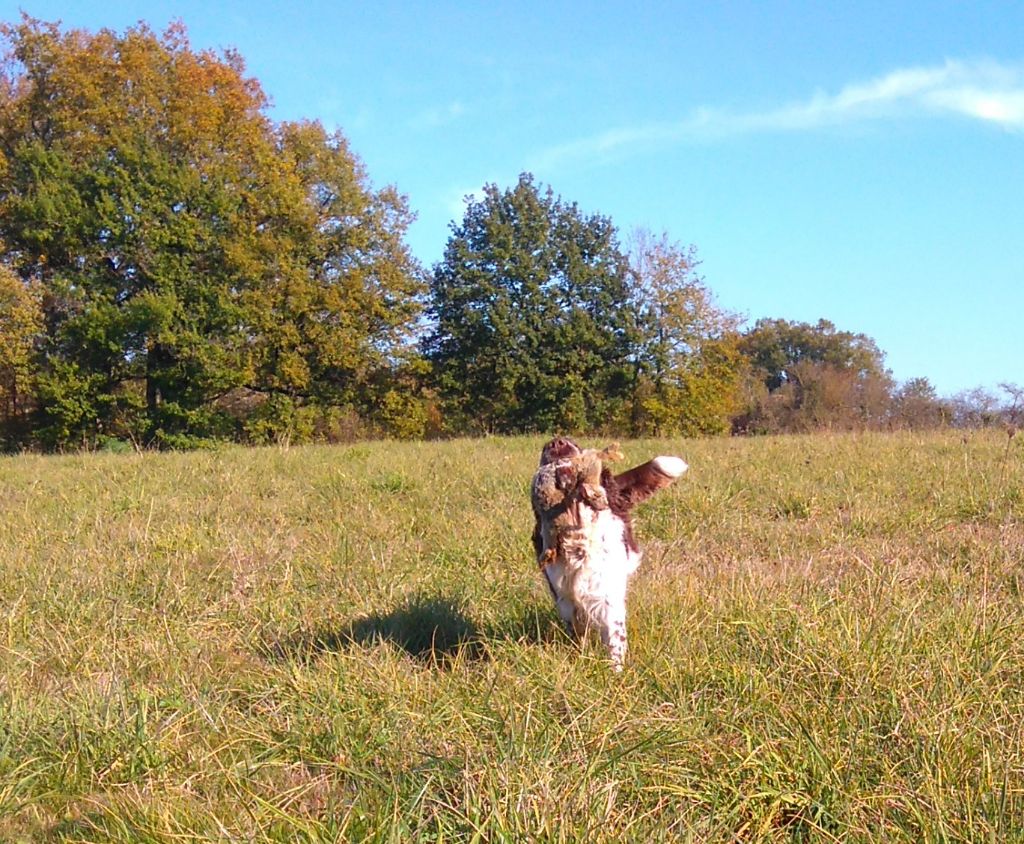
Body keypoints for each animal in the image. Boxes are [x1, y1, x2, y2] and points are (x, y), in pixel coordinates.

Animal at [528, 438, 688, 667]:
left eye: (573, 442)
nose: (556, 443)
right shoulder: (565, 598)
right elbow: (577, 630)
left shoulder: (606, 594)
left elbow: (614, 634)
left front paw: (615, 669)